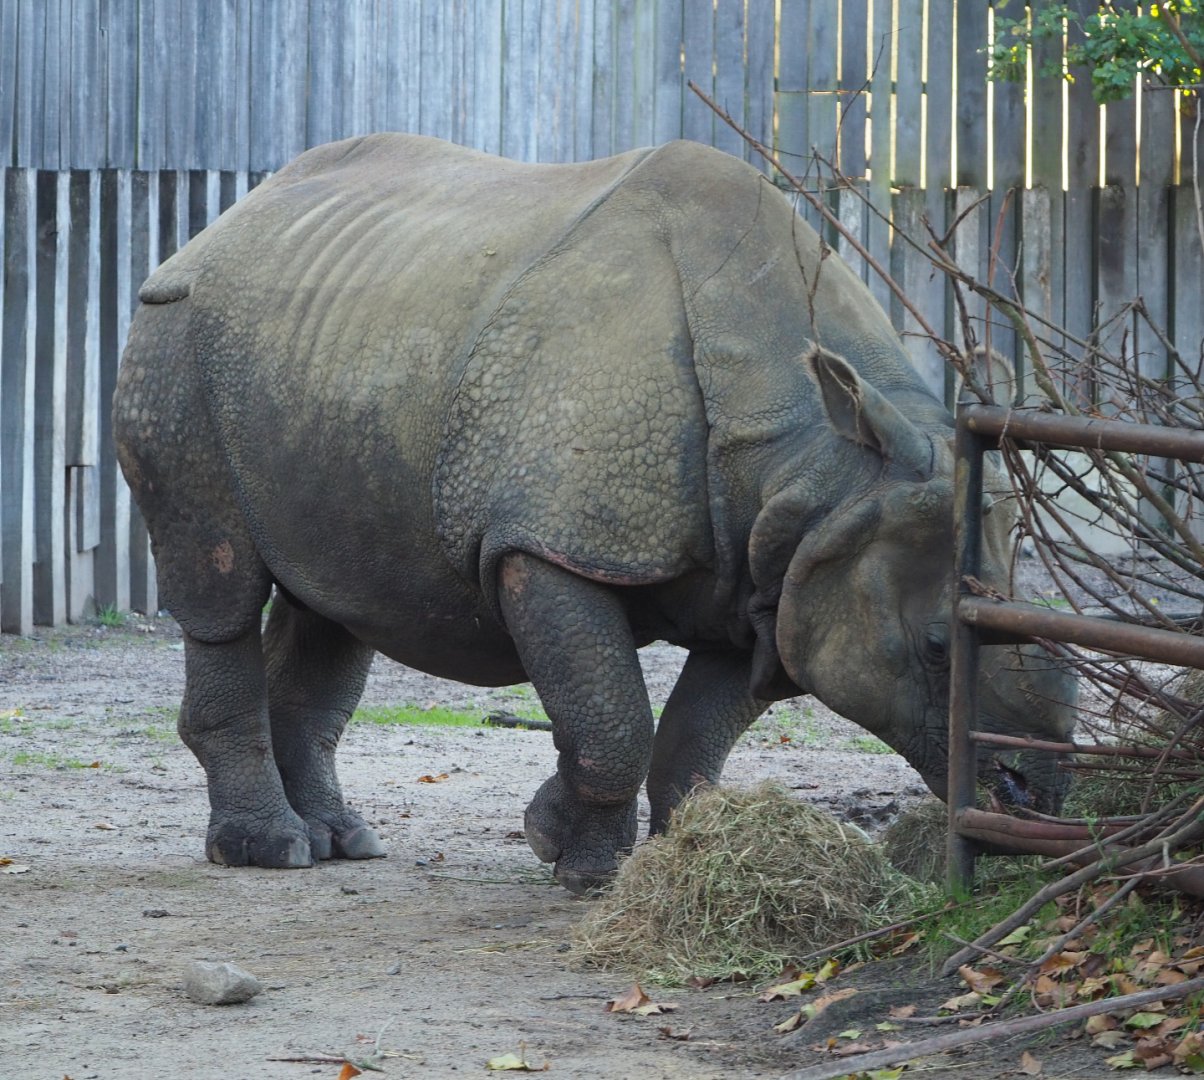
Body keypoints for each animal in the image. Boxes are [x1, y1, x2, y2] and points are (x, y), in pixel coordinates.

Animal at [113, 134, 1076, 893]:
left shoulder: (778, 567)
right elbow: (612, 718)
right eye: (937, 647)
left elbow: (688, 736)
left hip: (327, 338)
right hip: (179, 338)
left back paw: (342, 842)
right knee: (220, 584)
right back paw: (272, 852)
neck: (818, 461)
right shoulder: (545, 546)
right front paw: (583, 868)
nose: (1030, 803)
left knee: (337, 598)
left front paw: (623, 844)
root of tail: (218, 225)